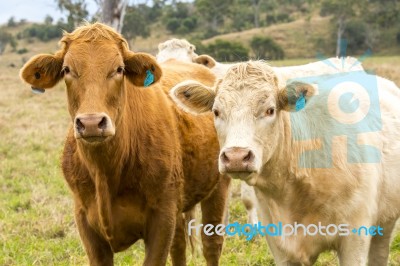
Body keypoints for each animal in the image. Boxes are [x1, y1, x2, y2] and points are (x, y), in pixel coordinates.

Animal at [21, 22, 228, 266]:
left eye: (119, 69)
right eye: (67, 70)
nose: (91, 123)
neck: (106, 172)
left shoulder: (162, 218)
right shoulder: (85, 222)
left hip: (218, 185)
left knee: (211, 245)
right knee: (179, 247)